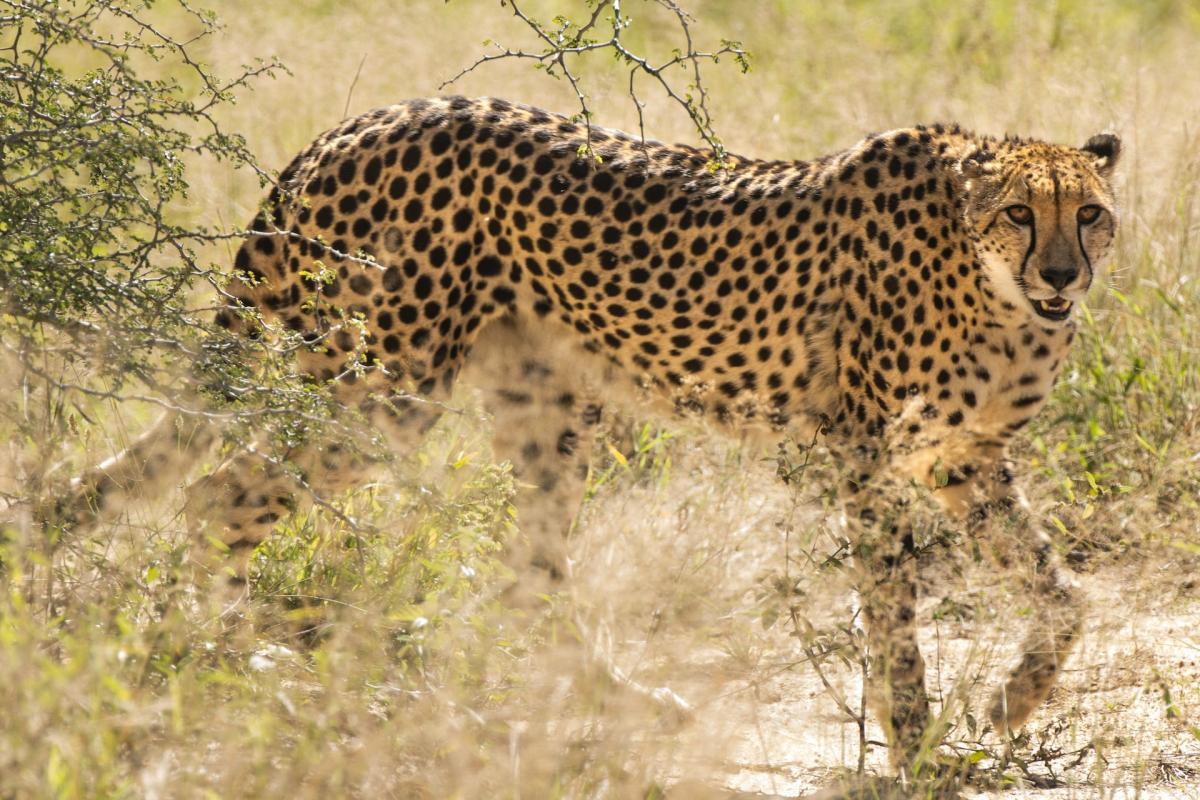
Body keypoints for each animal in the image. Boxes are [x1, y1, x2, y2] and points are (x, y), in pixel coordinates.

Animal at [60, 95, 1118, 777]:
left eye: (1092, 215)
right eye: (1018, 212)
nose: (1063, 274)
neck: (994, 289)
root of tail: (356, 124)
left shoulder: (960, 459)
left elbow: (1062, 592)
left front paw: (1013, 702)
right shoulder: (864, 455)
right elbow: (894, 614)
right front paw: (920, 746)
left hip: (539, 406)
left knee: (529, 575)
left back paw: (623, 704)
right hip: (385, 389)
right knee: (219, 494)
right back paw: (242, 658)